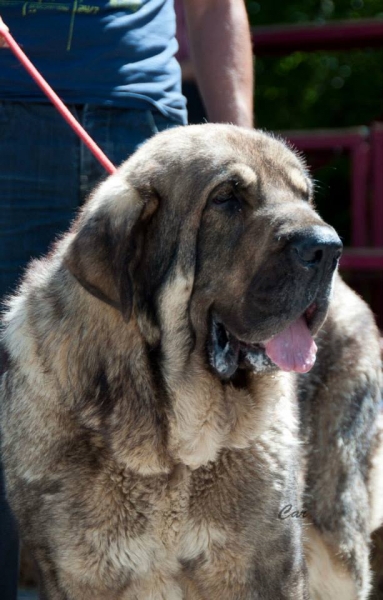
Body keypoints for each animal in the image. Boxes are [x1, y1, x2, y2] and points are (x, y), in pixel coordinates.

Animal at [0, 124, 383, 596]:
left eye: (304, 195)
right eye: (226, 198)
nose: (329, 248)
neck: (168, 448)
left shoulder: (268, 568)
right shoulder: (77, 574)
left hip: (336, 544)